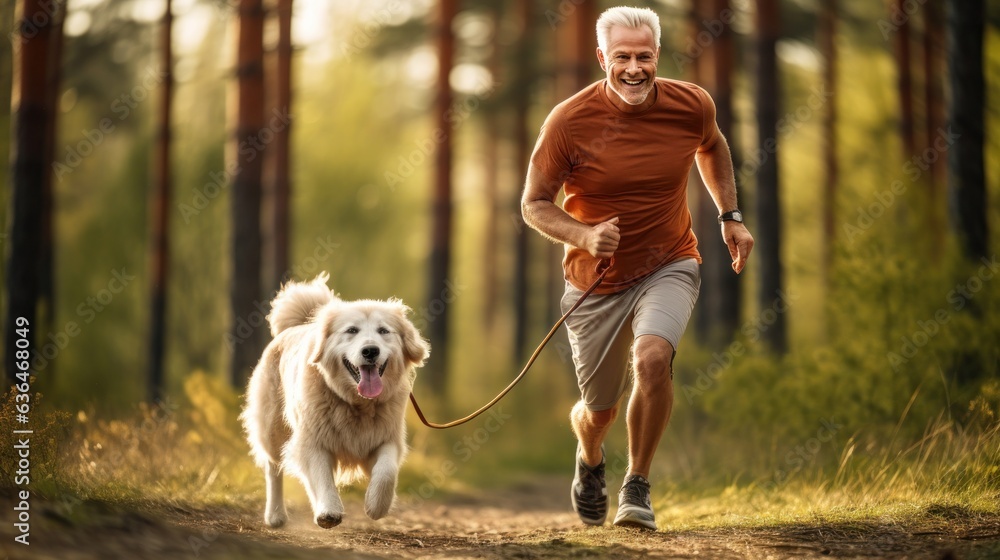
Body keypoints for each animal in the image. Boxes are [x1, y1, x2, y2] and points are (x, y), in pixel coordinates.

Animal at [244, 274, 432, 528]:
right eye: (352, 330)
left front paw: (376, 505)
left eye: (384, 331)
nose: (370, 351)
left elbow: (386, 472)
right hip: (272, 429)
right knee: (273, 468)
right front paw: (328, 511)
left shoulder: (387, 438)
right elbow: (321, 477)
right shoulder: (312, 440)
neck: (357, 404)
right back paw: (275, 515)